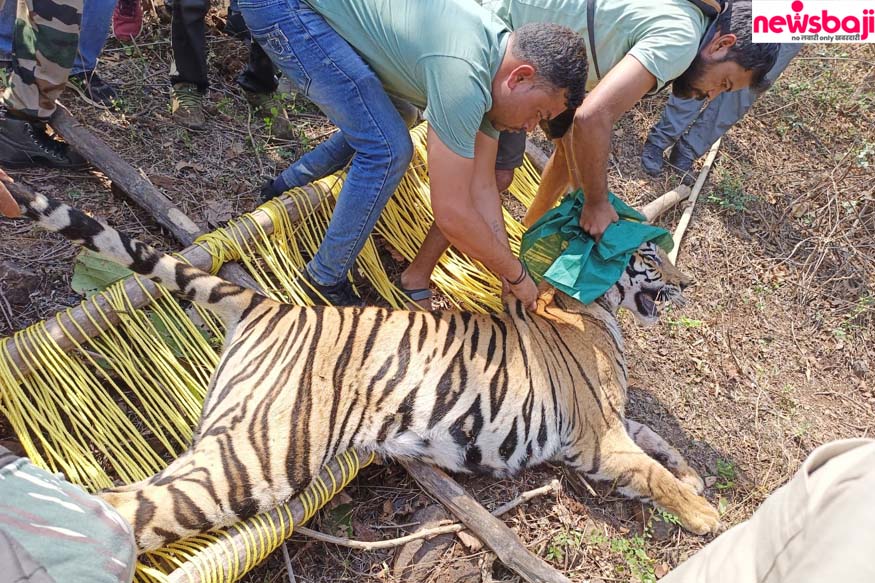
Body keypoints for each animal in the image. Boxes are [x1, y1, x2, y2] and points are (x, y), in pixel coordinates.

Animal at [5, 185, 720, 556]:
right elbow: (653, 472)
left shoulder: (616, 423)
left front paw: (696, 477)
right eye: (653, 255)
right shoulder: (599, 437)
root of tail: (272, 304)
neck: (593, 307)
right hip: (256, 457)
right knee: (125, 507)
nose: (688, 285)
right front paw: (707, 517)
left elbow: (663, 444)